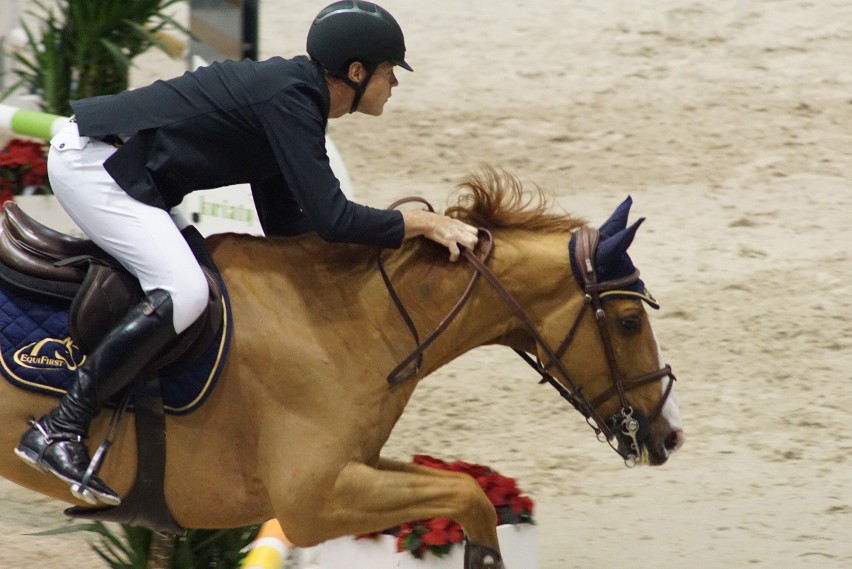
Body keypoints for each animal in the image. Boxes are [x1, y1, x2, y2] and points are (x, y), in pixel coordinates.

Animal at [0, 166, 684, 564]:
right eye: (629, 321)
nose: (669, 435)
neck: (358, 321)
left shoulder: (356, 467)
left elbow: (468, 496)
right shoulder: (317, 500)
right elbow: (469, 496)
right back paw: (55, 447)